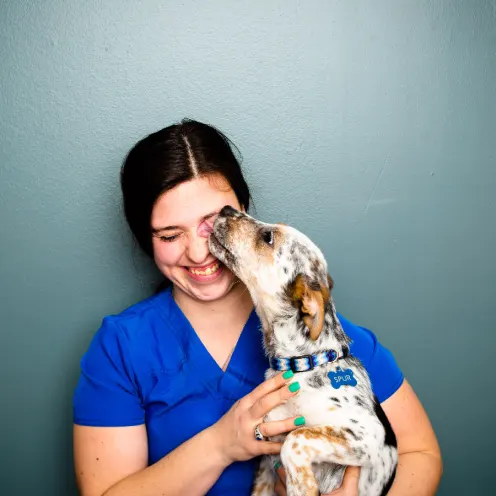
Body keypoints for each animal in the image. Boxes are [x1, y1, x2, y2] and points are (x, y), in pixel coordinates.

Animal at [207, 203, 398, 494]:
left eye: (267, 237)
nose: (226, 208)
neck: (301, 363)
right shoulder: (266, 461)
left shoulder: (367, 434)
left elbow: (296, 438)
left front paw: (301, 485)